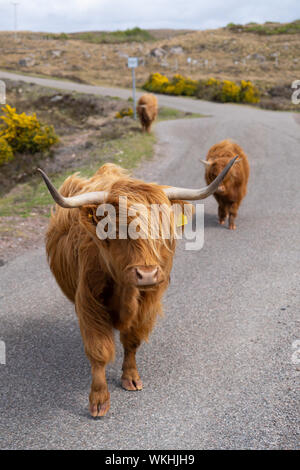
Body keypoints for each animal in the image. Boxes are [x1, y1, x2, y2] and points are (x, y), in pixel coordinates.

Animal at [38, 159, 237, 418]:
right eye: (116, 228)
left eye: (162, 229)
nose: (147, 273)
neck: (124, 291)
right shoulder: (89, 303)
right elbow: (98, 350)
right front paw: (99, 400)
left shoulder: (147, 302)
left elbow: (132, 341)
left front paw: (130, 377)